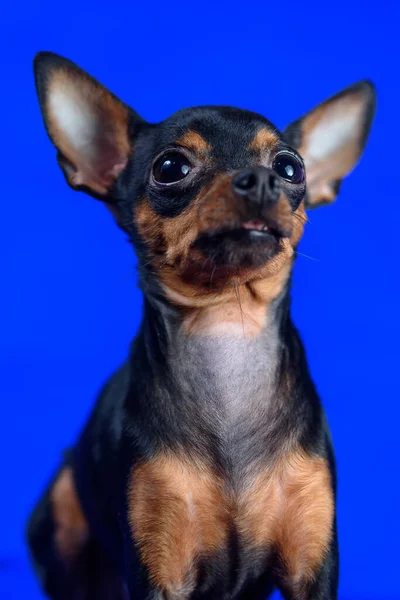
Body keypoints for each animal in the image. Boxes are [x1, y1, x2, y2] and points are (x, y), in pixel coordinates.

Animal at [27, 52, 376, 600]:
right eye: (171, 168)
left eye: (290, 167)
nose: (261, 180)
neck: (226, 326)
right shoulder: (159, 566)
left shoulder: (312, 566)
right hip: (61, 506)